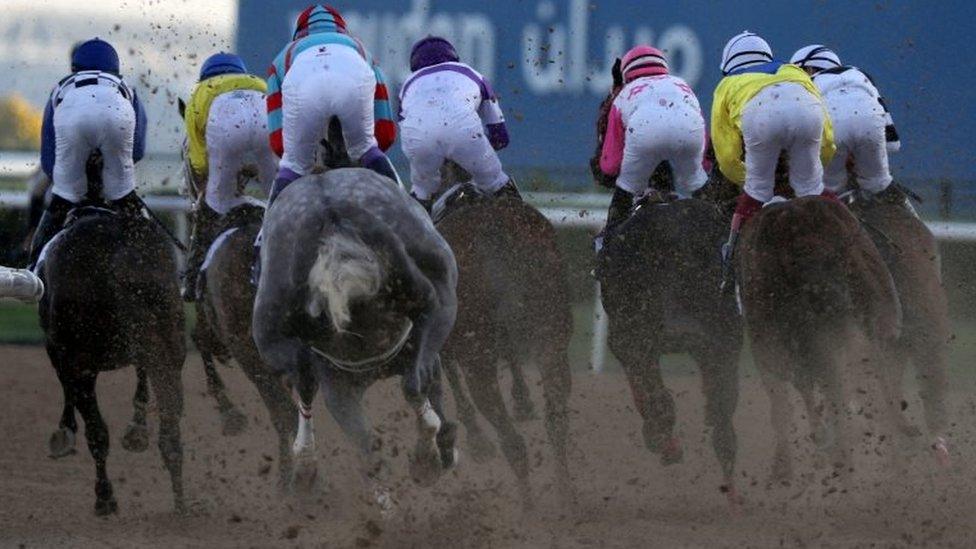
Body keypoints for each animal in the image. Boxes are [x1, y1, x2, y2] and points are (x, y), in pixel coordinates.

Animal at [38, 154, 187, 512]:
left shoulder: (64, 354)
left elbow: (78, 403)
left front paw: (64, 433)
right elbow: (143, 379)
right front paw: (137, 429)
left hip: (80, 356)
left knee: (98, 431)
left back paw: (104, 495)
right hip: (171, 341)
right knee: (172, 421)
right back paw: (180, 498)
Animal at [432, 184, 572, 506]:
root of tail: (492, 237)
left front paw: (477, 442)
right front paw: (523, 401)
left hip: (478, 362)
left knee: (512, 441)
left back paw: (530, 509)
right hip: (552, 333)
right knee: (556, 422)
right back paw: (568, 499)